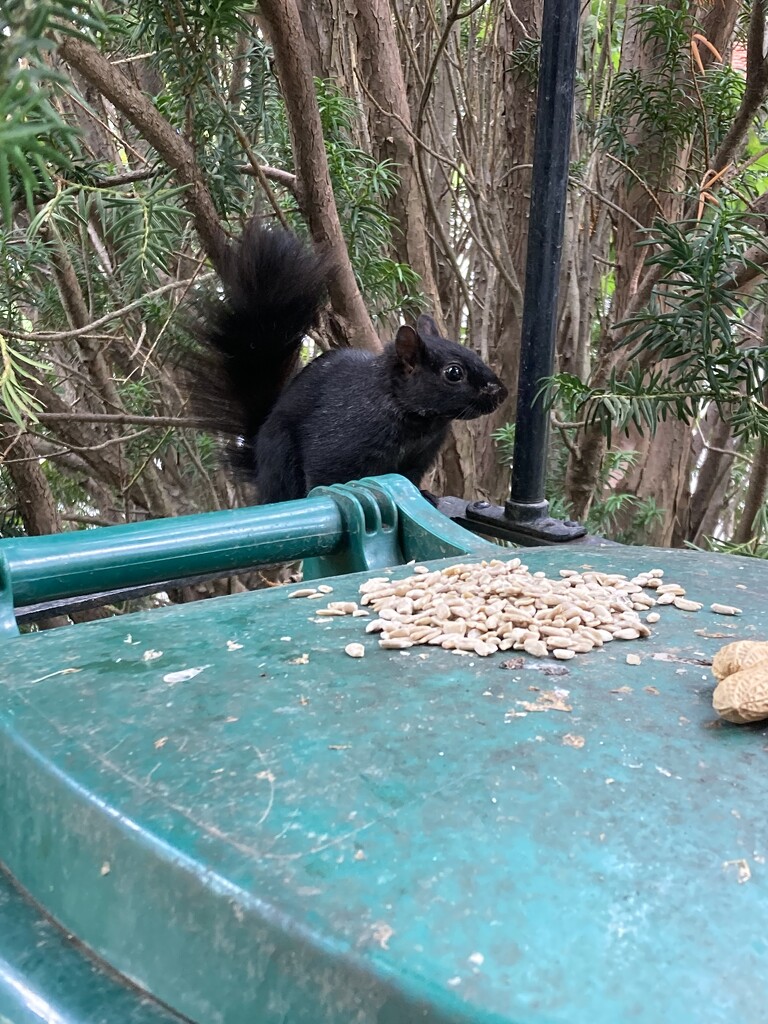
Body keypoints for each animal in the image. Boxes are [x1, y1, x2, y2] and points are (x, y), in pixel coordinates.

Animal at [189, 221, 507, 503]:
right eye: (453, 373)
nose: (500, 392)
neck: (418, 422)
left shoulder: (417, 460)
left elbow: (410, 482)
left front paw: (426, 496)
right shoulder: (337, 443)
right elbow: (326, 476)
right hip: (281, 461)